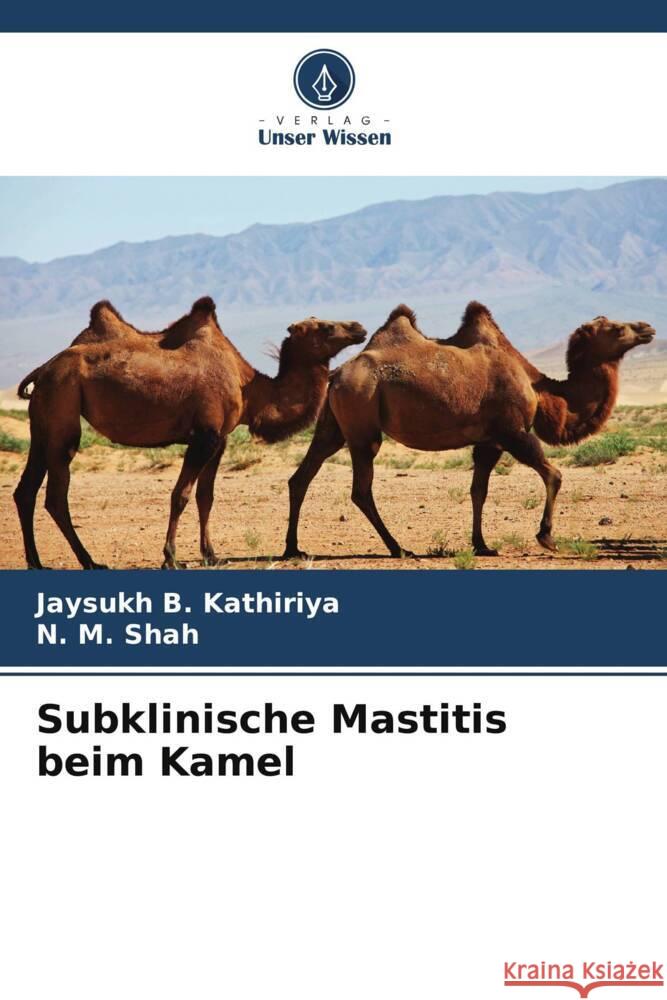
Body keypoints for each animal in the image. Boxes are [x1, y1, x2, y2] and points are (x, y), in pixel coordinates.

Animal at [14, 297, 366, 569]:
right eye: (326, 327)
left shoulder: (220, 439)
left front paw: (211, 555)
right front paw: (171, 557)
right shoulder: (204, 436)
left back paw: (37, 562)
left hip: (43, 423)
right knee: (56, 495)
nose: (359, 327)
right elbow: (180, 495)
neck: (249, 388)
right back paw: (90, 561)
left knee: (25, 490)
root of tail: (43, 370)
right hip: (63, 410)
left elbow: (205, 496)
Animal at [282, 301, 655, 559]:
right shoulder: (513, 432)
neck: (540, 389)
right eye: (616, 329)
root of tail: (336, 375)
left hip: (333, 426)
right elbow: (554, 474)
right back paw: (399, 548)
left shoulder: (489, 442)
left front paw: (482, 545)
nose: (647, 327)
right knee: (361, 489)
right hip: (362, 424)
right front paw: (546, 538)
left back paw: (293, 549)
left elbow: (479, 490)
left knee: (302, 476)